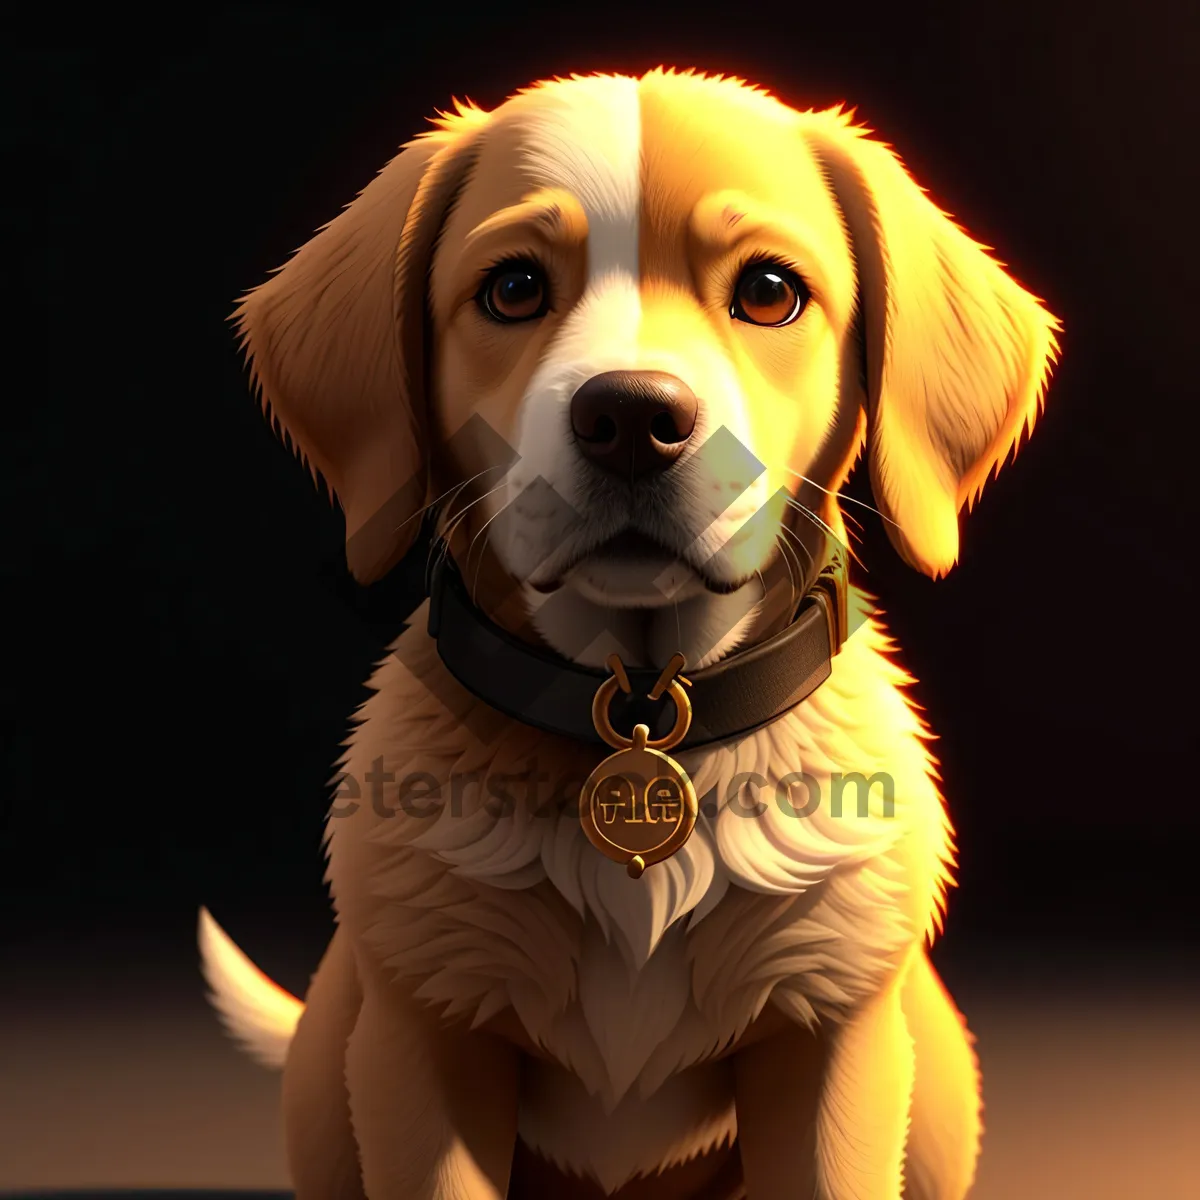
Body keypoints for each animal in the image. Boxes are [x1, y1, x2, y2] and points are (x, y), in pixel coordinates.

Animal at [196, 68, 1060, 1200]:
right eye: (513, 289)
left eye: (770, 292)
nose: (632, 420)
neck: (642, 711)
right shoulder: (426, 1044)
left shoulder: (829, 1039)